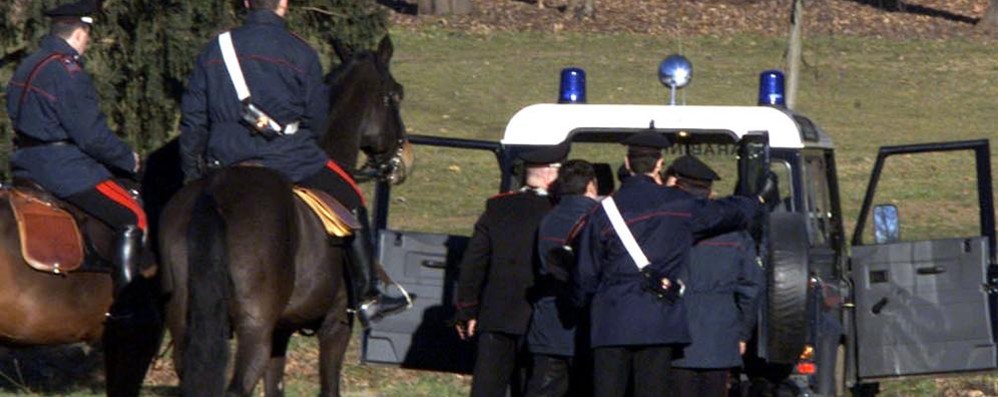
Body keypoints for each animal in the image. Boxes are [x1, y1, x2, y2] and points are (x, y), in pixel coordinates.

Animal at [160, 35, 410, 394]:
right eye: (395, 95)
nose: (401, 160)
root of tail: (214, 192)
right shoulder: (335, 327)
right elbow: (329, 387)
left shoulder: (281, 331)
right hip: (255, 330)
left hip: (184, 326)